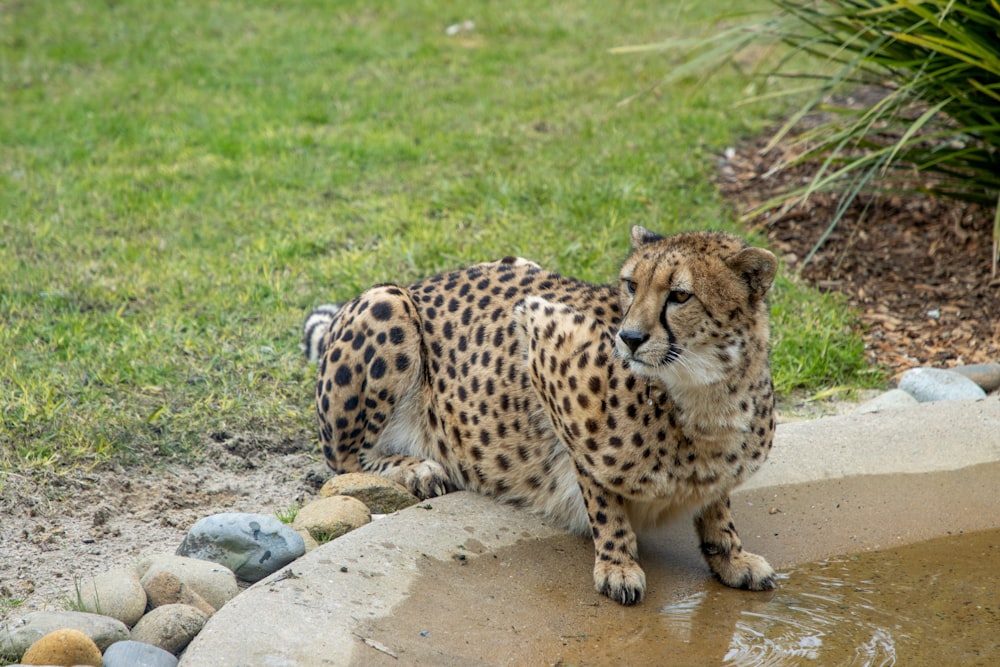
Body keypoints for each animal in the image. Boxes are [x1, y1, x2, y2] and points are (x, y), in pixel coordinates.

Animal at [304, 226, 780, 604]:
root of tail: (424, 281)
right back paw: (416, 468)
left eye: (680, 295)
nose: (628, 338)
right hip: (387, 300)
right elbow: (599, 489)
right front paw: (618, 564)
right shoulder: (541, 333)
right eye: (631, 285)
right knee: (345, 458)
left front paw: (732, 557)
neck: (705, 393)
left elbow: (717, 504)